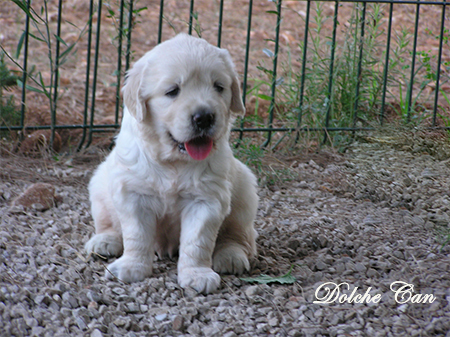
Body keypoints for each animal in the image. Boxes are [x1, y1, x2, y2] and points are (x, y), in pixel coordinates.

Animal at [85, 32, 258, 292]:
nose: (204, 117)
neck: (172, 161)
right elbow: (136, 234)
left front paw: (197, 275)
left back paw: (231, 256)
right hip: (99, 183)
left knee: (239, 236)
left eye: (219, 87)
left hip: (245, 191)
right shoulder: (133, 193)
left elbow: (197, 241)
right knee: (109, 223)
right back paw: (104, 241)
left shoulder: (206, 199)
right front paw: (132, 267)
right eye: (172, 91)